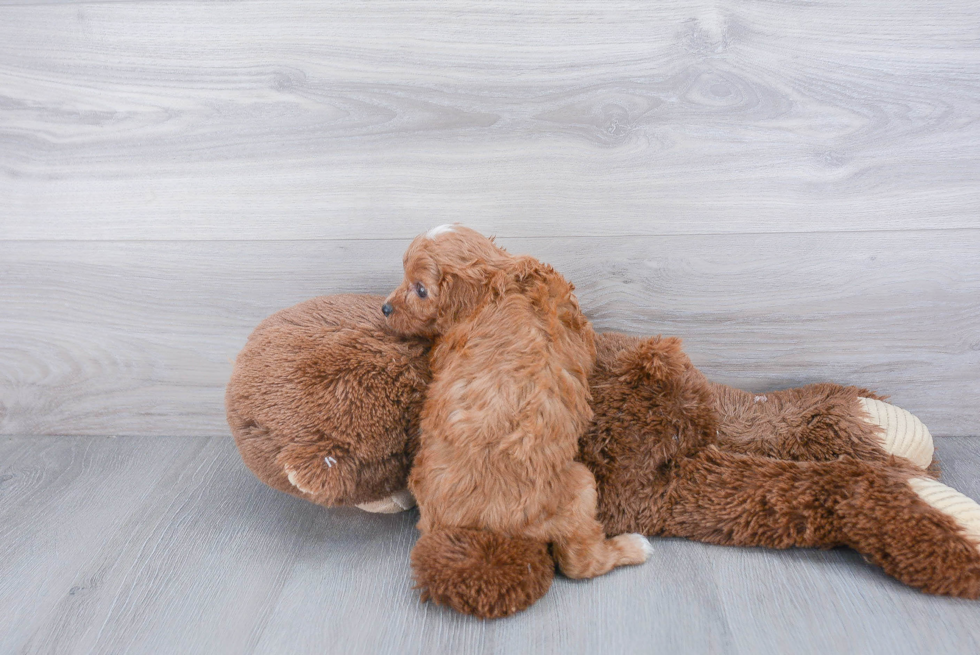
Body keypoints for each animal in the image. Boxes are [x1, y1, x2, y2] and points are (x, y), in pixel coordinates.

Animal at [382, 226, 652, 580]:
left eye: (421, 290)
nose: (385, 308)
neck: (499, 277)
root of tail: (487, 529)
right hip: (581, 485)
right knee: (580, 563)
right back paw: (635, 546)